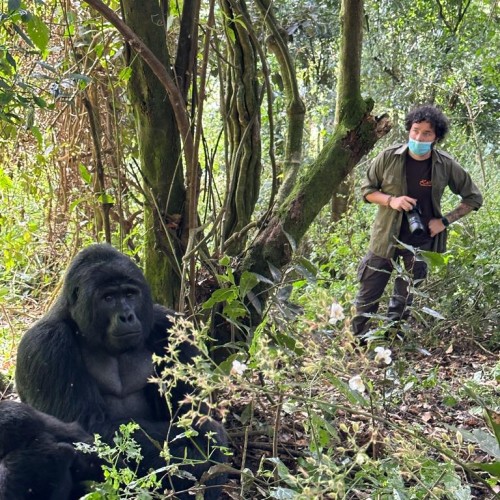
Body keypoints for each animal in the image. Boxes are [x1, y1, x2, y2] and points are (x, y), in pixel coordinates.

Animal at [12, 244, 227, 498]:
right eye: (108, 298)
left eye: (130, 294)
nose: (126, 316)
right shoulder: (46, 345)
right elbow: (90, 430)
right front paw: (202, 448)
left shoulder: (171, 325)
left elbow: (190, 415)